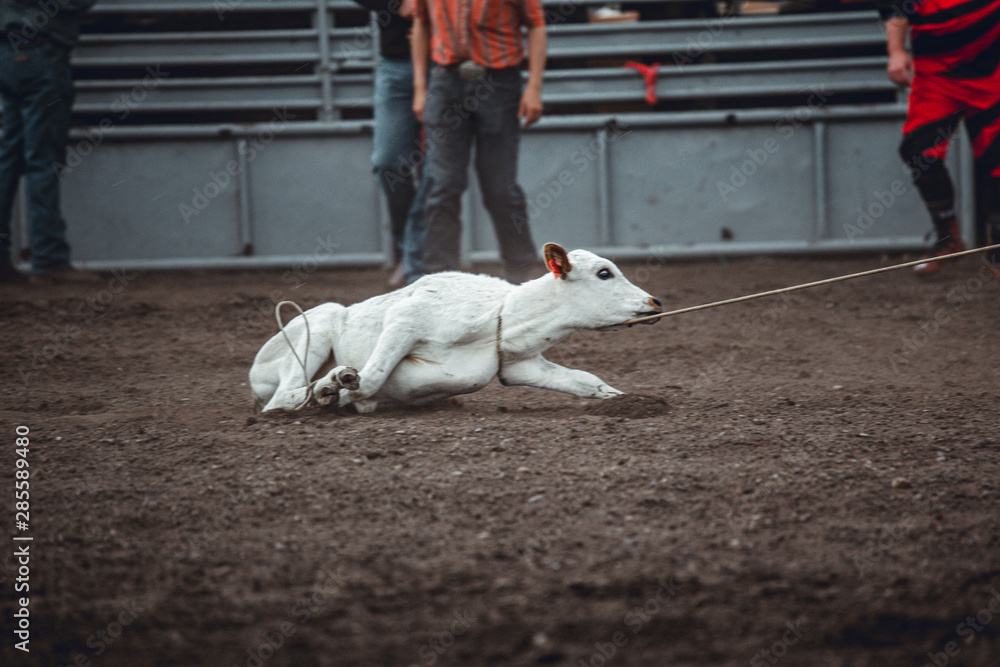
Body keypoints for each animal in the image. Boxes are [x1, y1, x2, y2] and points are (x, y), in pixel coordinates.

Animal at [249, 243, 662, 413]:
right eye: (604, 273)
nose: (655, 302)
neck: (501, 316)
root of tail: (255, 370)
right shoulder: (406, 319)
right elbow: (372, 376)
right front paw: (339, 387)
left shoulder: (518, 365)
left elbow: (585, 380)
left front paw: (631, 401)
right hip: (315, 328)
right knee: (280, 399)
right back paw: (326, 388)